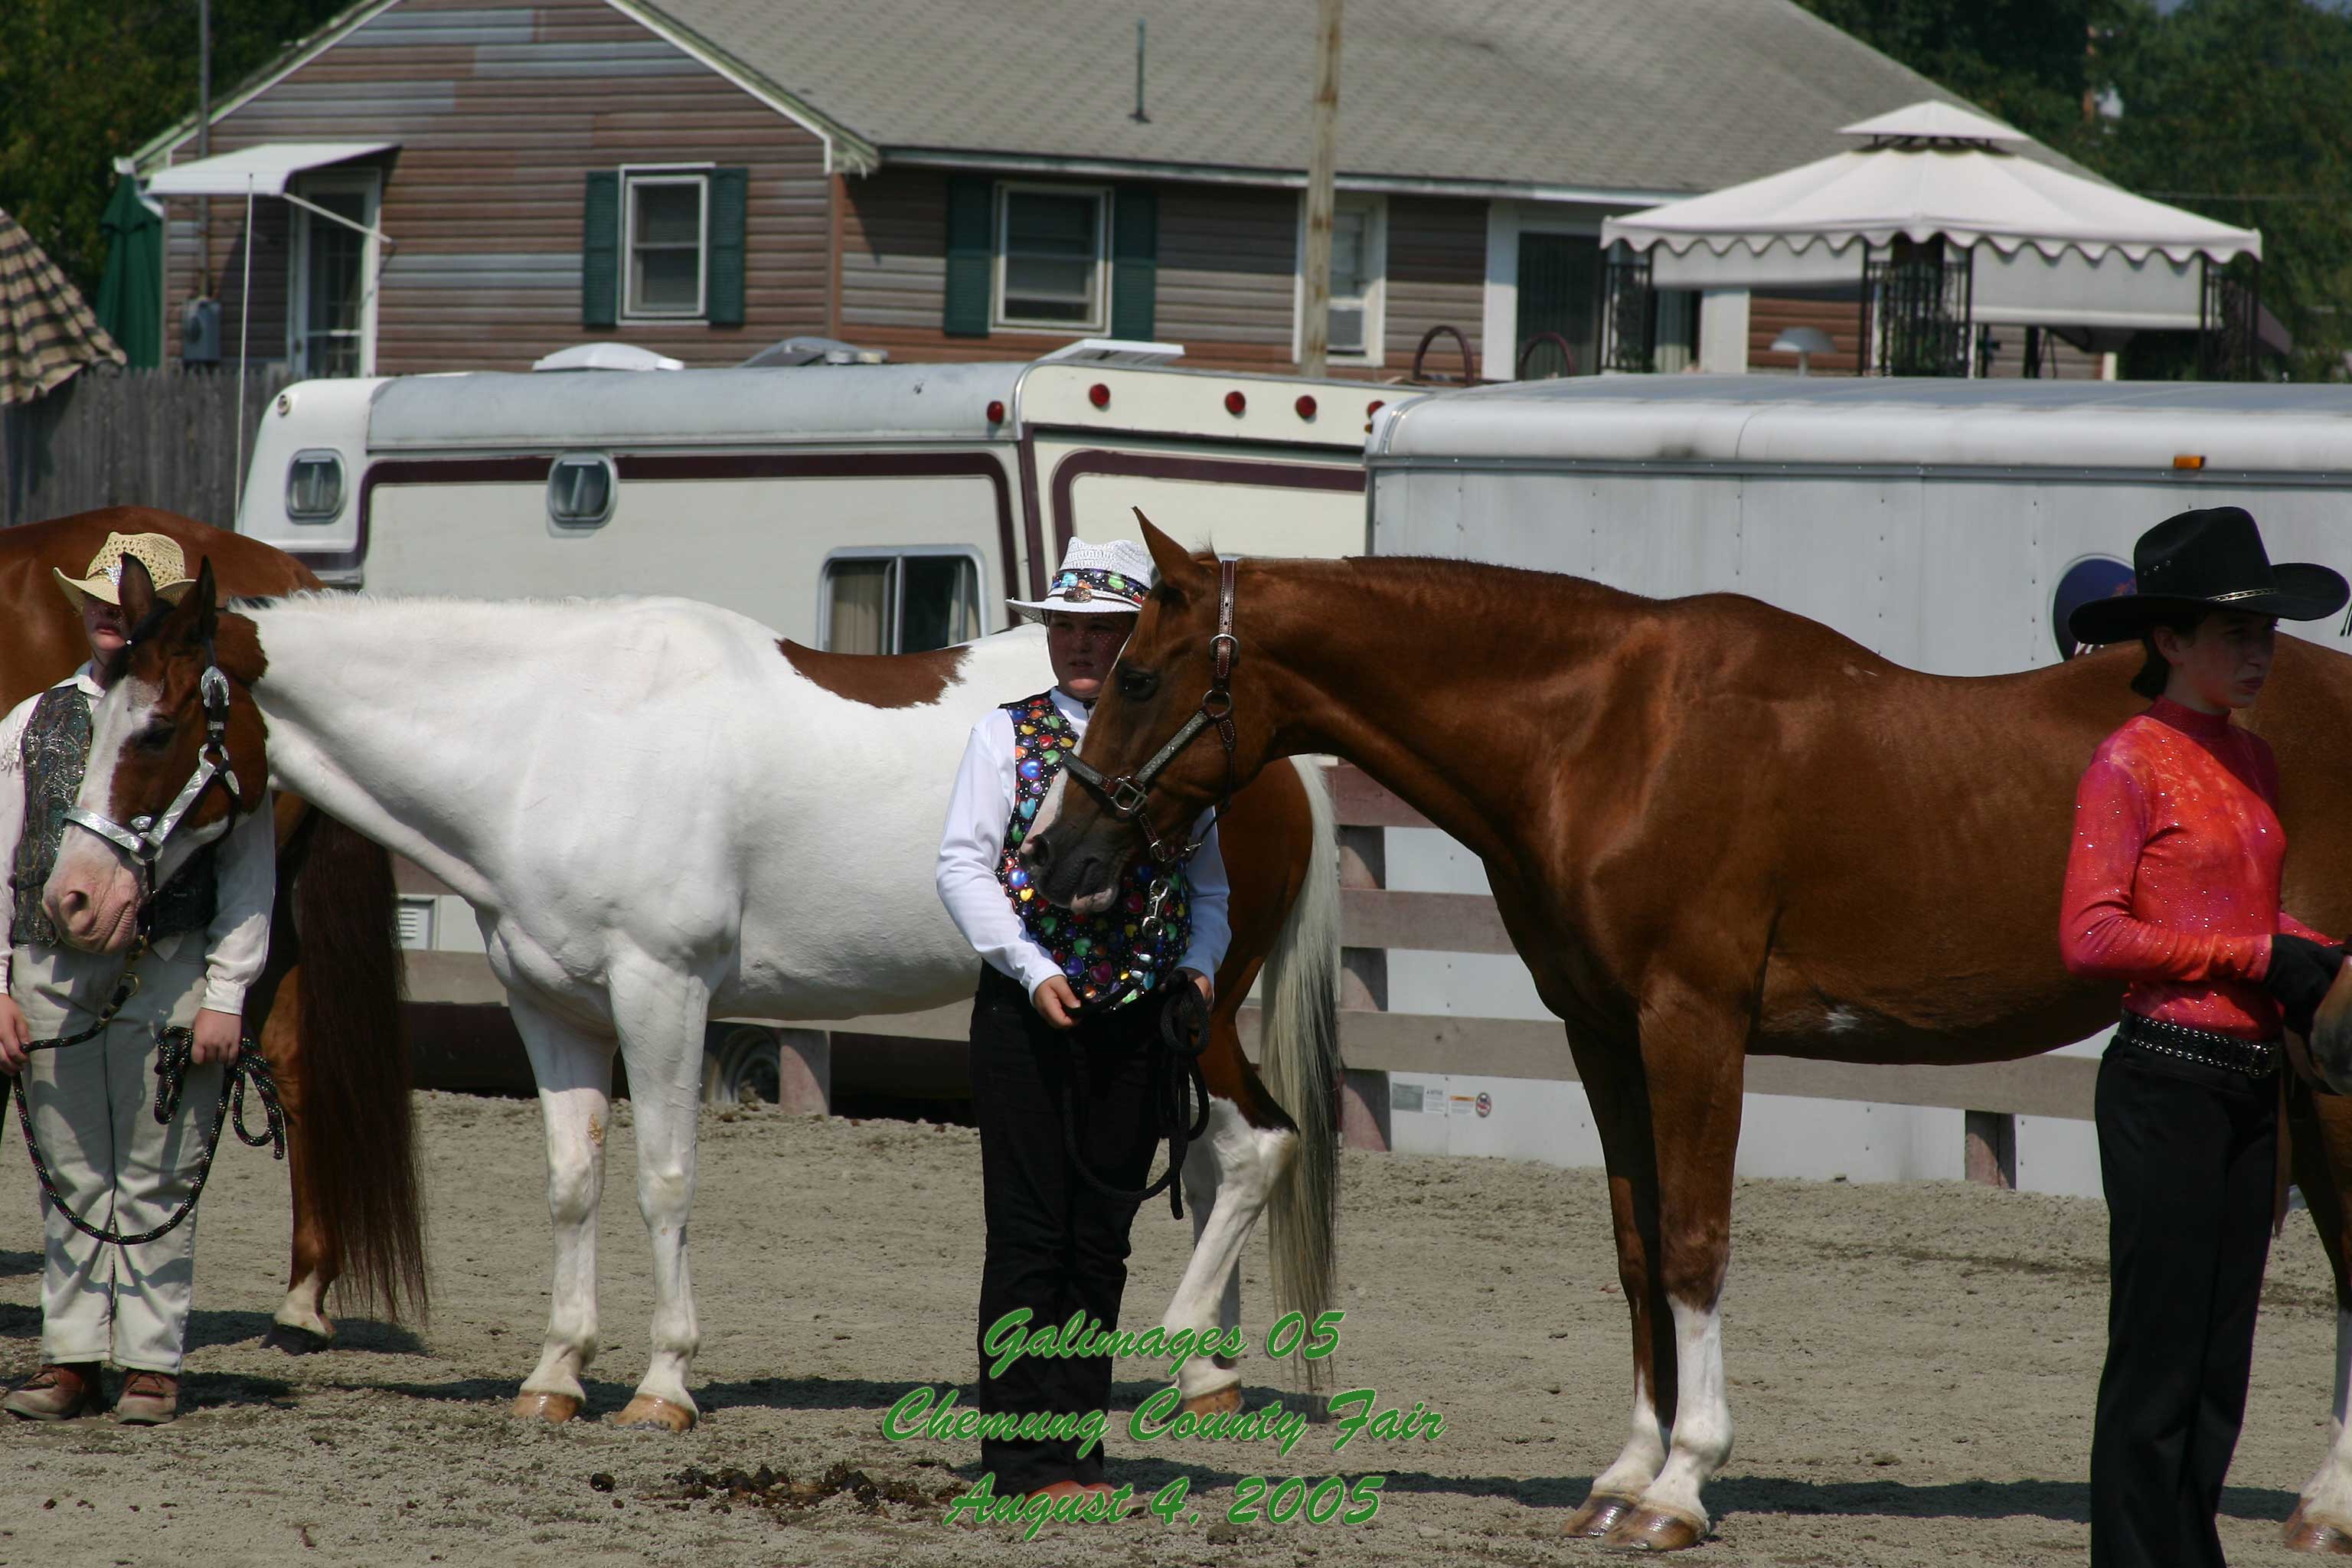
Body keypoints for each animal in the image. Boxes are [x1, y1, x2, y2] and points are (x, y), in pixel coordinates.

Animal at [45, 554, 1345, 1439]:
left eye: (157, 728)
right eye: (95, 715)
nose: (71, 898)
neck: (550, 738)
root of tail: (1276, 763)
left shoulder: (661, 995)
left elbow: (664, 1182)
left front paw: (665, 1384)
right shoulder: (554, 1008)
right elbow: (572, 1184)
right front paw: (555, 1375)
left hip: (1190, 1004)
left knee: (1258, 1149)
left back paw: (1187, 1350)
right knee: (1222, 1163)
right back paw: (1207, 1379)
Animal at [1030, 521, 2352, 1551]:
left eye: (1136, 677)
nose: (1056, 857)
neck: (1611, 735)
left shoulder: (1694, 1025)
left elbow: (1696, 1246)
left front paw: (1681, 1485)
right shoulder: (1604, 1036)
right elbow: (1635, 1248)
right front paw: (1624, 1473)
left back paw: (2329, 1506)